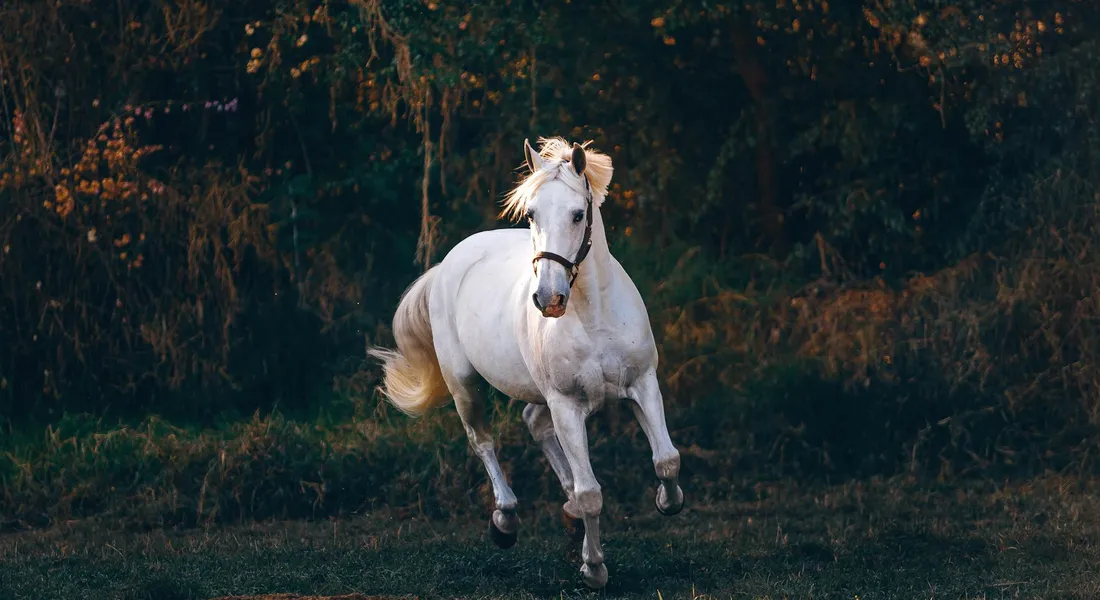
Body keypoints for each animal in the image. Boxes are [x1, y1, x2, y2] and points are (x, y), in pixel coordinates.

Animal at [368, 136, 684, 590]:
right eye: (531, 213)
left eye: (578, 214)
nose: (548, 299)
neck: (594, 316)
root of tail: (448, 263)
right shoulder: (566, 405)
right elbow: (591, 492)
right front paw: (594, 568)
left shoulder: (643, 384)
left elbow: (666, 460)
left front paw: (664, 501)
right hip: (464, 384)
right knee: (483, 441)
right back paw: (505, 521)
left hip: (539, 393)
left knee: (533, 423)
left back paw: (567, 517)